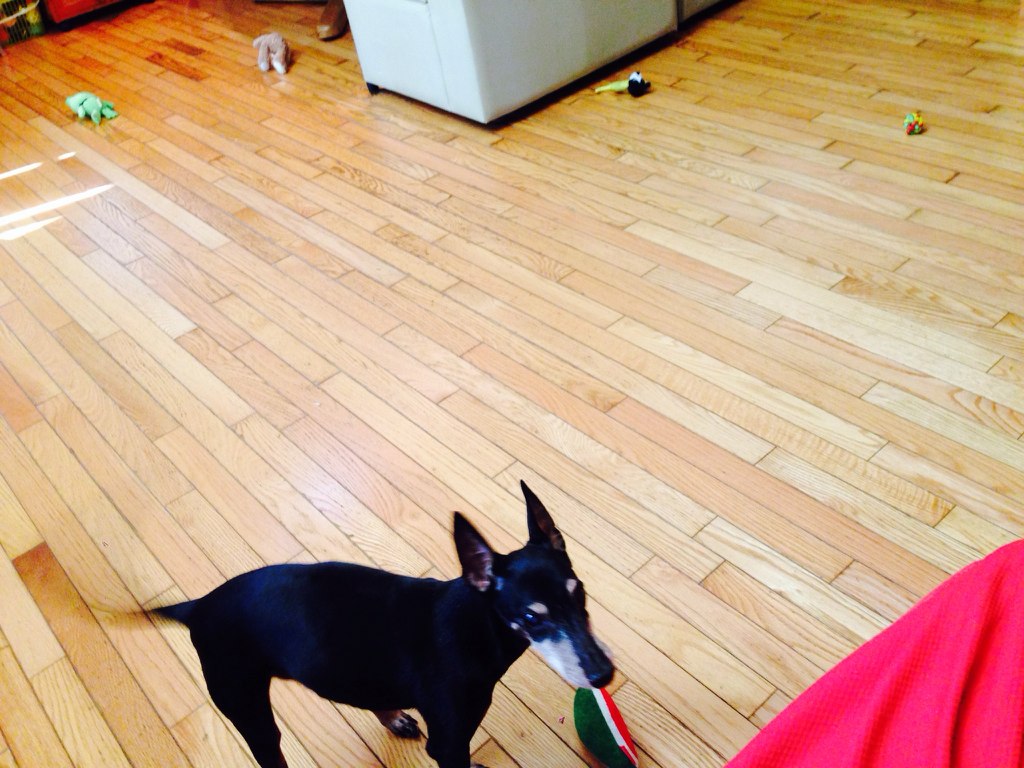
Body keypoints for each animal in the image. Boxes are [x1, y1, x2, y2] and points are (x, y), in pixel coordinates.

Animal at [155, 481, 614, 768]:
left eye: (580, 592)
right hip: (246, 704)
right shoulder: (448, 743)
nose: (602, 673)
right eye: (532, 617)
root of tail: (197, 606)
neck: (479, 622)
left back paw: (393, 717)